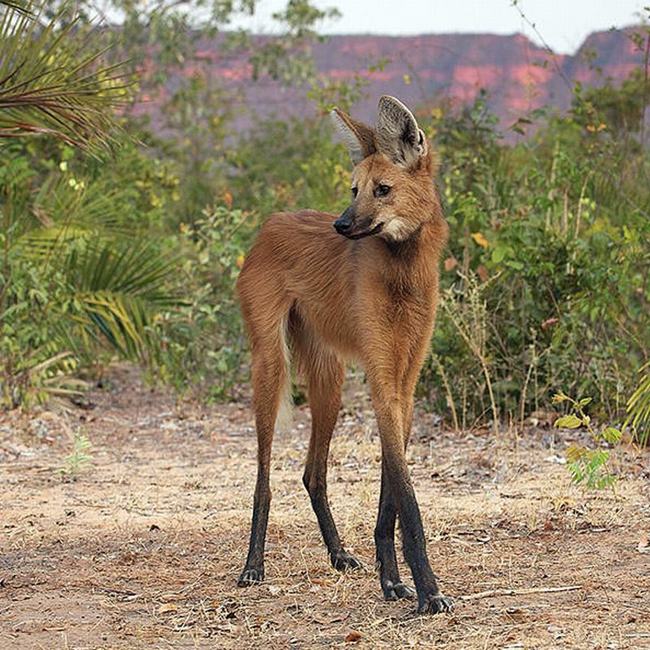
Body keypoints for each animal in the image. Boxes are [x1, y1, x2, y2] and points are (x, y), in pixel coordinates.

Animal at [234, 96, 450, 612]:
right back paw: (253, 566)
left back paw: (338, 554)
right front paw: (428, 591)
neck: (403, 271)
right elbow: (408, 498)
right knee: (264, 476)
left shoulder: (405, 383)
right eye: (354, 190)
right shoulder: (382, 377)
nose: (342, 224)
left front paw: (393, 582)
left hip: (329, 381)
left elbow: (391, 491)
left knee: (312, 473)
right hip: (271, 366)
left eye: (382, 189)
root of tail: (270, 222)